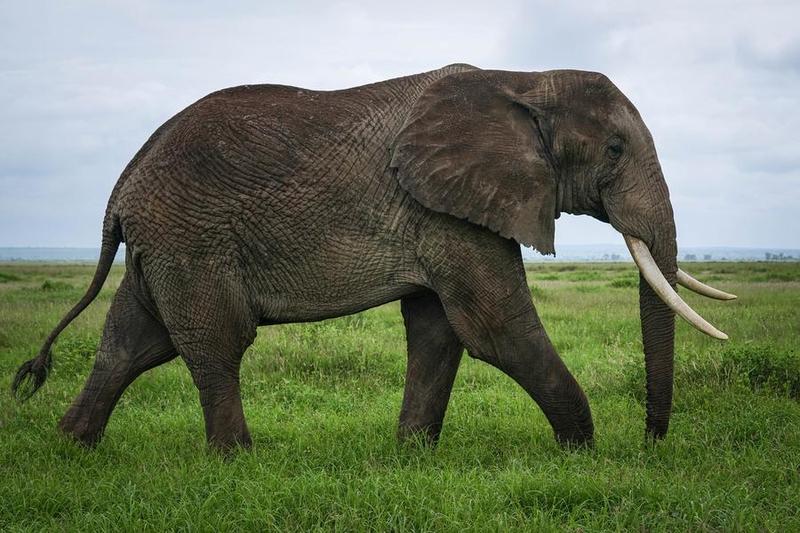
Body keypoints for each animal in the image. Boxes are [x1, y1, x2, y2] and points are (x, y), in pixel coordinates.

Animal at [14, 64, 736, 450]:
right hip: (192, 238)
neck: (523, 80)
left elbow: (439, 330)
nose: (651, 441)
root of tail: (122, 185)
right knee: (214, 345)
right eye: (614, 149)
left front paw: (412, 455)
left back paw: (70, 446)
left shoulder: (441, 209)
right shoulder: (446, 209)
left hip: (163, 245)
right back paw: (238, 461)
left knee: (130, 342)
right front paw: (581, 451)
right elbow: (495, 329)